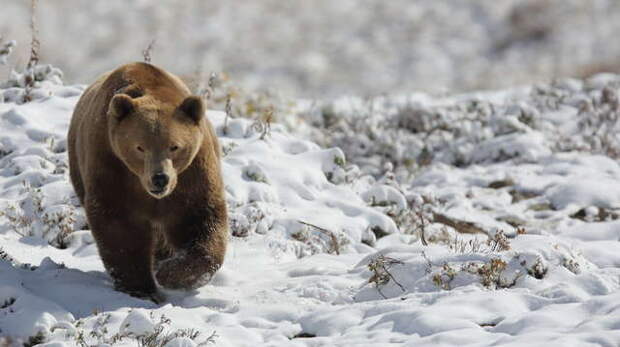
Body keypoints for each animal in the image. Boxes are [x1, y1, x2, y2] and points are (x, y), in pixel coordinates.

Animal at [68, 61, 228, 300]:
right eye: (140, 147)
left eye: (174, 146)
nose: (160, 178)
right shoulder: (112, 165)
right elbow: (120, 226)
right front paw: (140, 287)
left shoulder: (192, 174)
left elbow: (200, 218)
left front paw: (172, 274)